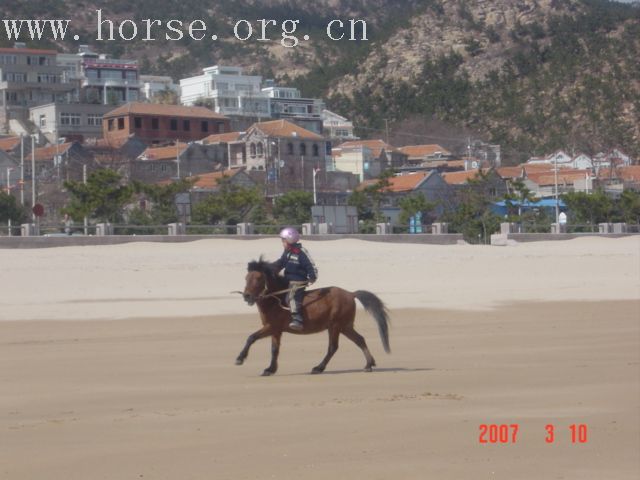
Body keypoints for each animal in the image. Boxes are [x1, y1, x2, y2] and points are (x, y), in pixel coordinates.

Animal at [236, 258, 390, 376]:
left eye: (258, 278)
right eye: (246, 278)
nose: (247, 296)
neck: (276, 299)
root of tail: (351, 294)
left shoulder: (271, 327)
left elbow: (251, 337)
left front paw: (240, 358)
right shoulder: (276, 331)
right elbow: (274, 350)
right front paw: (270, 369)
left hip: (335, 326)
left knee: (333, 347)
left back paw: (319, 368)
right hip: (345, 327)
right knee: (359, 340)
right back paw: (369, 364)